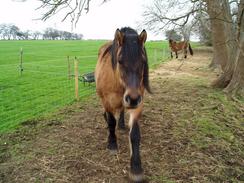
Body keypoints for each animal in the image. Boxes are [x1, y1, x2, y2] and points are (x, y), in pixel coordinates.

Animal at [95, 26, 151, 182]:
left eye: (143, 61)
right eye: (120, 61)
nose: (132, 99)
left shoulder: (138, 104)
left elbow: (135, 134)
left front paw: (136, 168)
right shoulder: (107, 101)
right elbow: (111, 122)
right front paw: (112, 144)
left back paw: (121, 125)